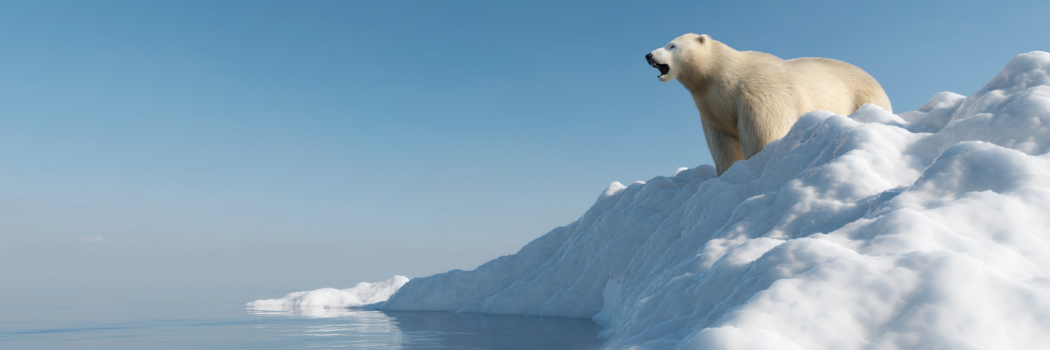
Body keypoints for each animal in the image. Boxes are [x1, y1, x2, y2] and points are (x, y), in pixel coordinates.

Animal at [642, 33, 890, 174]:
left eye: (672, 45)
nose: (648, 55)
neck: (721, 75)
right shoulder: (713, 108)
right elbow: (722, 144)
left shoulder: (758, 94)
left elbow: (763, 133)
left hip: (864, 97)